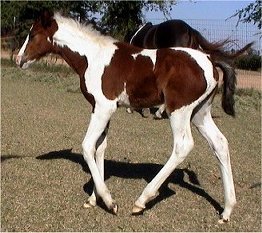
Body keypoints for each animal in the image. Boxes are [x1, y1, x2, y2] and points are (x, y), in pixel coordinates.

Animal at [16, 10, 237, 222]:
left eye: (33, 34)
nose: (19, 60)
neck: (93, 57)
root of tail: (209, 60)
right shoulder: (101, 109)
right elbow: (100, 148)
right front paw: (93, 199)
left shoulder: (103, 107)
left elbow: (88, 147)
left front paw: (109, 201)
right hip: (200, 113)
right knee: (220, 143)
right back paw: (227, 210)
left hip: (179, 111)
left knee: (183, 146)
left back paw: (141, 200)